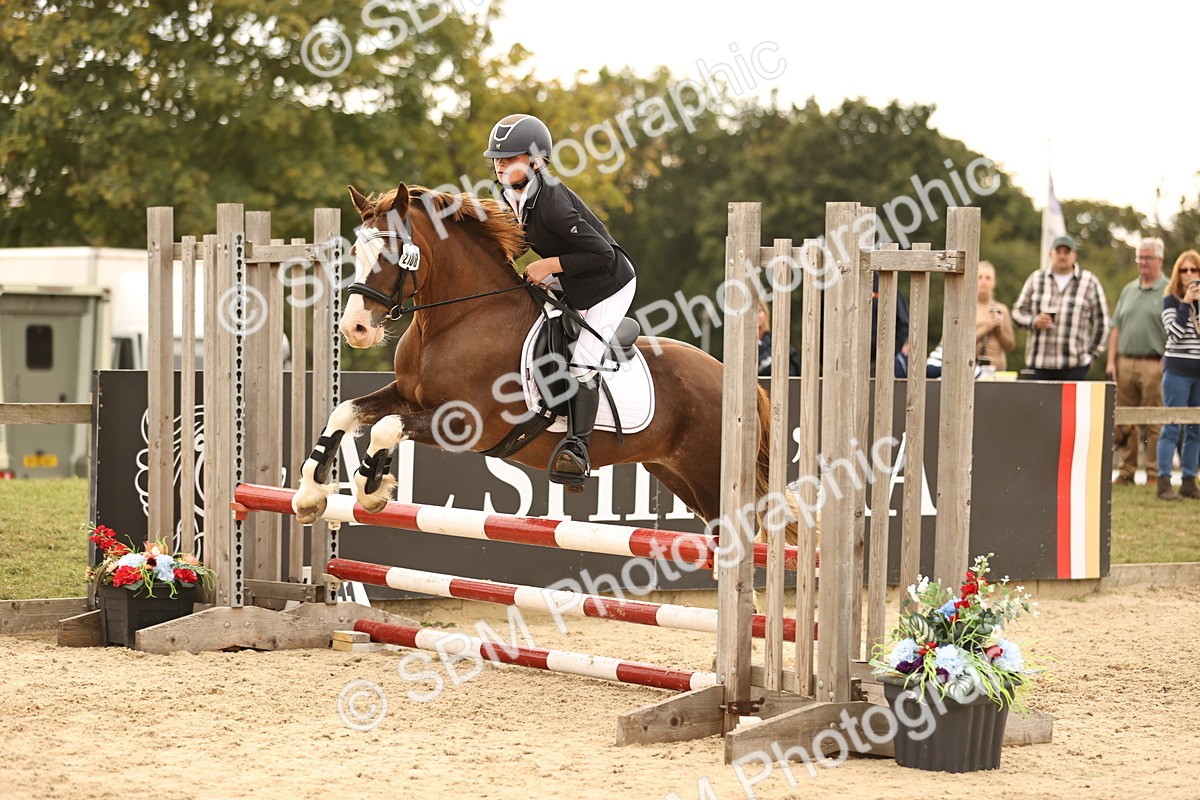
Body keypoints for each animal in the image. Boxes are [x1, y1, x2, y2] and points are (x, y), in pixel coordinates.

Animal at [290, 181, 787, 540]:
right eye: (354, 252)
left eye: (394, 254)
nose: (354, 329)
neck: (458, 318)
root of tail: (737, 380)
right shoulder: (409, 396)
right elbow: (346, 412)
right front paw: (312, 493)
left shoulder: (465, 422)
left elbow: (384, 429)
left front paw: (371, 488)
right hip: (677, 474)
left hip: (711, 475)